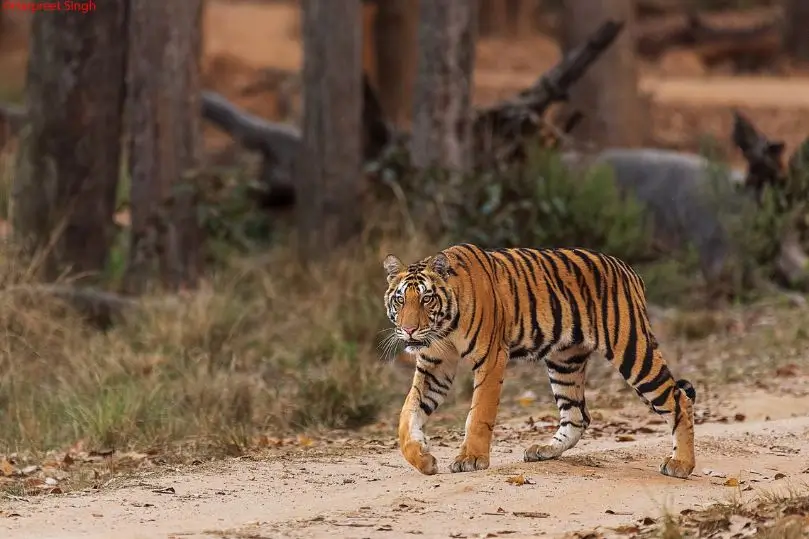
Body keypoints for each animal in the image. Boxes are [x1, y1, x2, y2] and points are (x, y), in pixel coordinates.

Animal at [382, 243, 696, 479]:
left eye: (426, 299)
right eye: (400, 300)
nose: (409, 330)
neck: (444, 328)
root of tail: (628, 269)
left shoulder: (491, 358)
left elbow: (479, 413)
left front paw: (471, 458)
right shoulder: (434, 366)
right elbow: (407, 414)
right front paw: (422, 458)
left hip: (632, 350)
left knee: (678, 398)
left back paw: (681, 465)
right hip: (565, 361)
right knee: (577, 415)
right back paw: (544, 451)